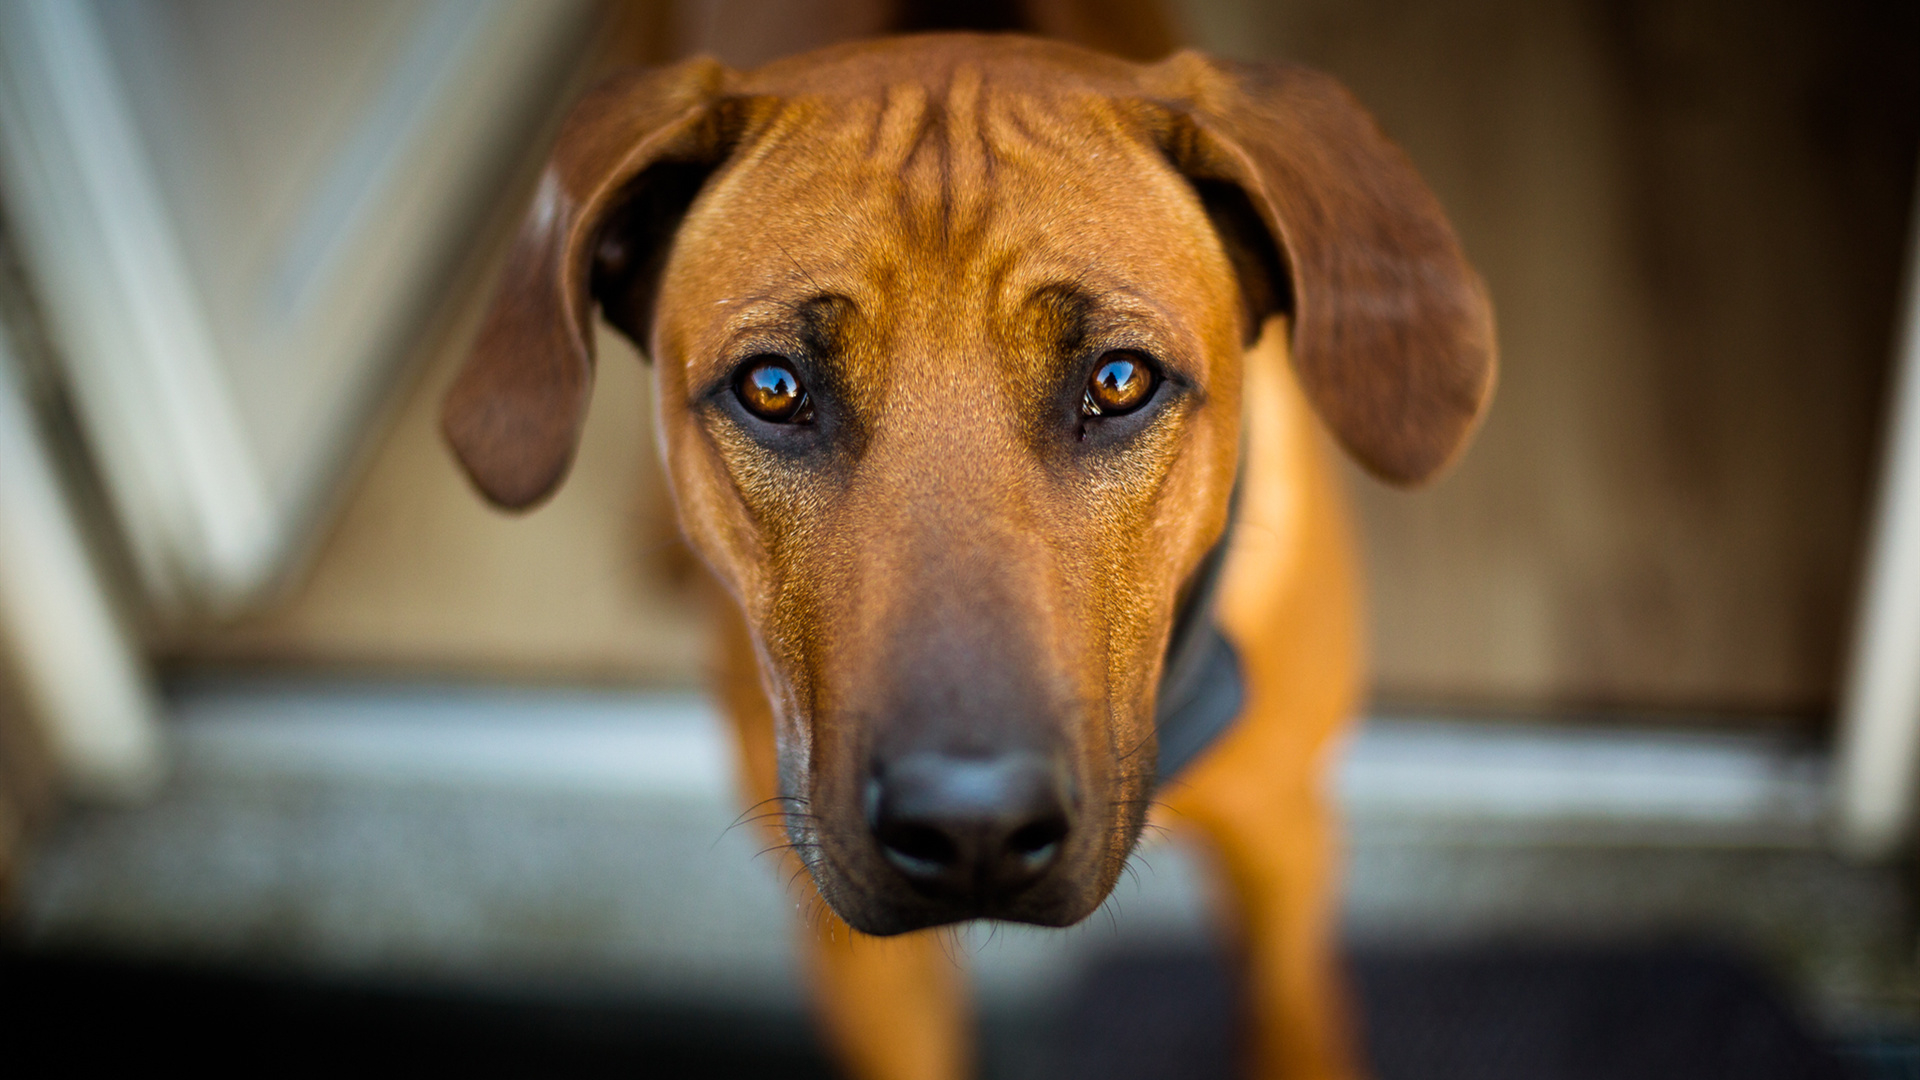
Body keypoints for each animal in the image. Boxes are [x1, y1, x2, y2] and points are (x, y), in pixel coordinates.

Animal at [441, 31, 1489, 1076]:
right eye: (773, 388)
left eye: (1120, 379)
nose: (972, 823)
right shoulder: (852, 947)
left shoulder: (1284, 843)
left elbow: (1296, 1015)